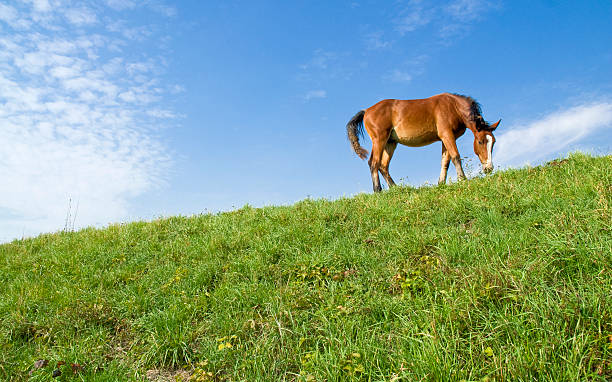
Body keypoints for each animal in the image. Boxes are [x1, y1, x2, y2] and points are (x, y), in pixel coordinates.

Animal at [346, 92, 500, 191]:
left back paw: (396, 188)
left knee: (383, 166)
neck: (453, 106)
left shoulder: (446, 138)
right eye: (480, 142)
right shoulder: (447, 135)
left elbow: (445, 161)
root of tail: (366, 110)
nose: (489, 168)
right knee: (374, 163)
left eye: (493, 142)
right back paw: (378, 190)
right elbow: (456, 157)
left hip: (390, 143)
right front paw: (462, 179)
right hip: (380, 140)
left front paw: (441, 183)